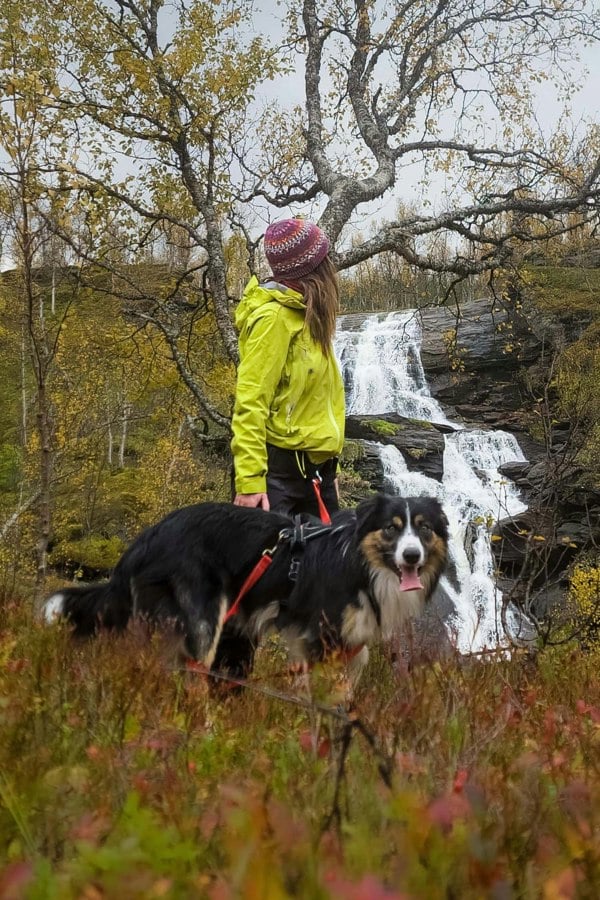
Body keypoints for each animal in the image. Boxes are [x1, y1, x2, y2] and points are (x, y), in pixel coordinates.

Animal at [45, 496, 450, 680]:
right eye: (391, 528)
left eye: (424, 528)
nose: (411, 556)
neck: (362, 566)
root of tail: (145, 538)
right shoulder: (322, 640)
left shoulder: (347, 647)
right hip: (202, 620)